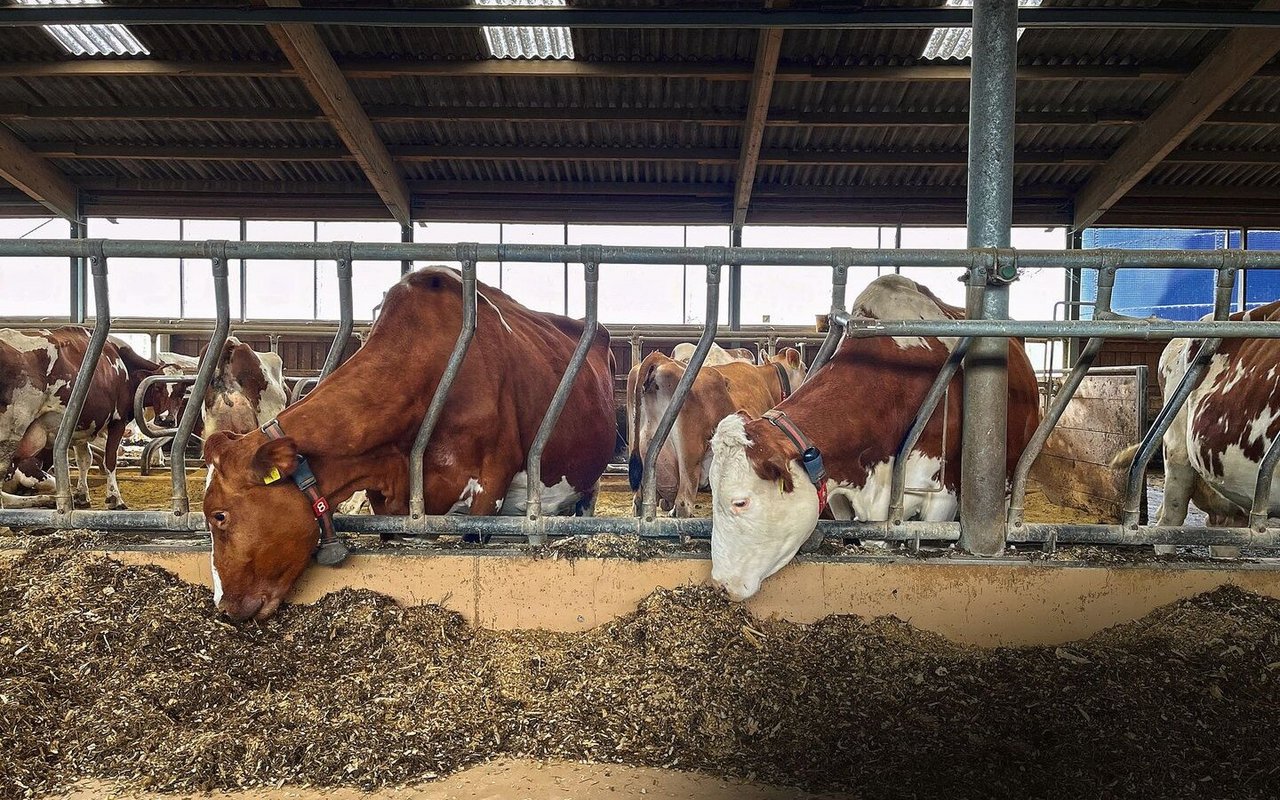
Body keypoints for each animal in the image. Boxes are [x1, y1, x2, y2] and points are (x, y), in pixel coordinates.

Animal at [1, 327, 163, 509]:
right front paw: (115, 498)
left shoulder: (81, 426)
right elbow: (110, 460)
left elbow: (84, 460)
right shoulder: (118, 420)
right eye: (160, 387)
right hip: (11, 434)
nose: (168, 419)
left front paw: (82, 496)